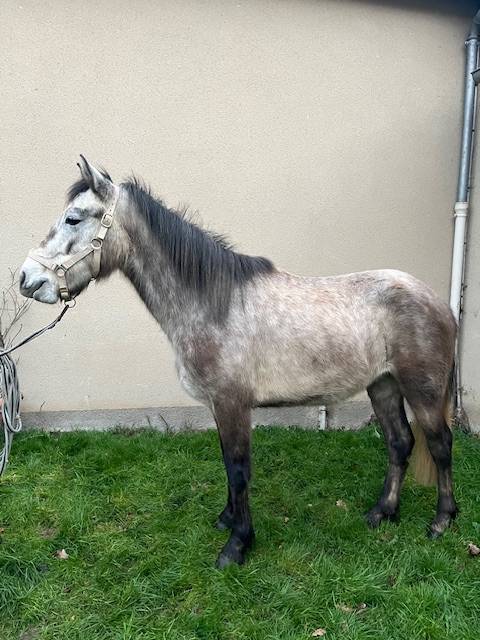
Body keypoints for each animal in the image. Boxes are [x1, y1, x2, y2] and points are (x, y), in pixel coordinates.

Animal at [19, 156, 457, 567]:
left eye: (74, 218)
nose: (27, 279)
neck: (213, 304)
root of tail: (439, 302)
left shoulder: (233, 403)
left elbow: (239, 469)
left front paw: (237, 545)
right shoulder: (218, 405)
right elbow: (226, 463)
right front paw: (228, 520)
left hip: (422, 391)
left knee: (440, 444)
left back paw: (442, 522)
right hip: (382, 385)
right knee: (400, 443)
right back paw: (383, 512)